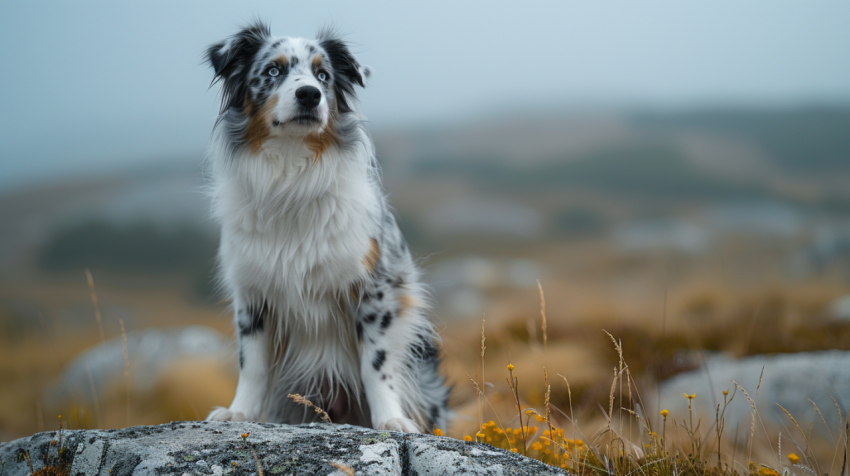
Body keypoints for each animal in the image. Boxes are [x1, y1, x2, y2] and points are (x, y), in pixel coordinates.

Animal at [202, 20, 448, 434]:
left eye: (323, 76)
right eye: (273, 71)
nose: (309, 94)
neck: (291, 175)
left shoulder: (376, 288)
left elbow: (375, 363)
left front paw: (390, 418)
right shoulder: (252, 292)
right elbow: (251, 363)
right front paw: (240, 413)